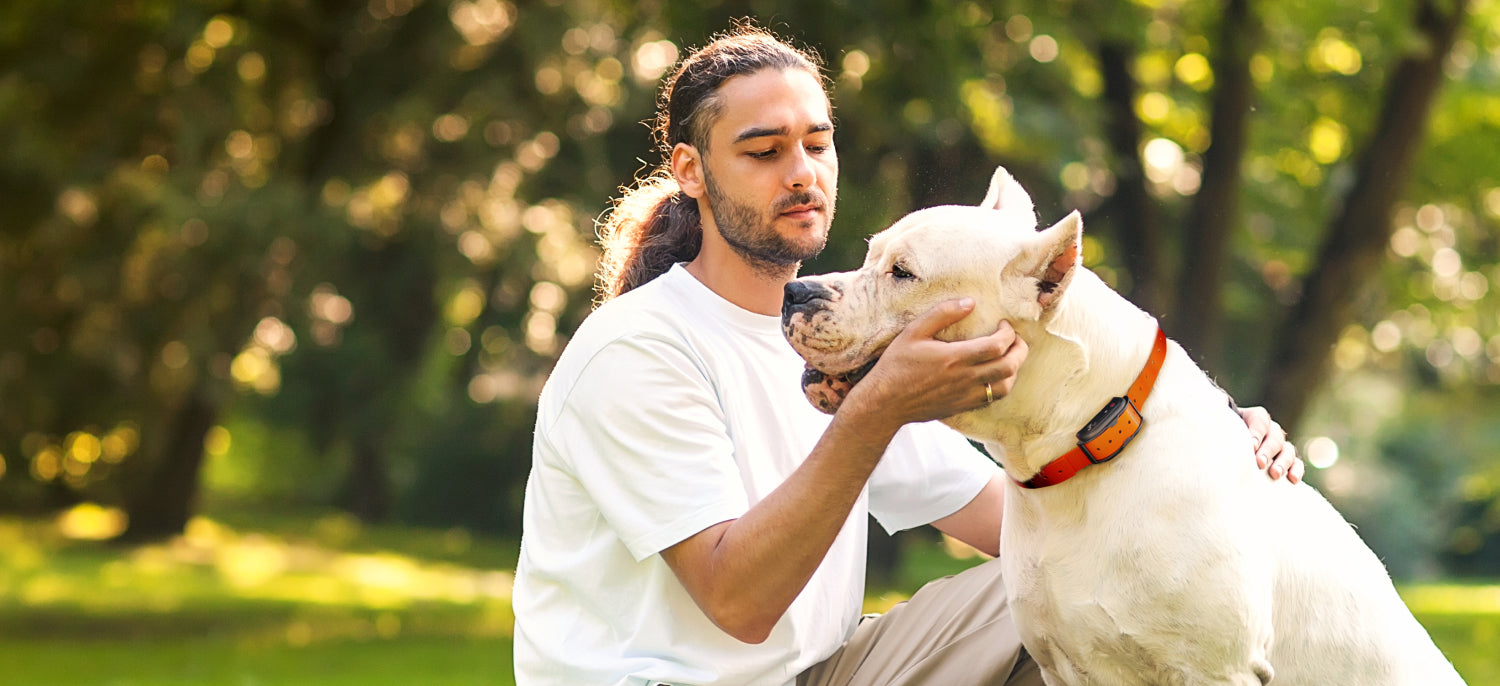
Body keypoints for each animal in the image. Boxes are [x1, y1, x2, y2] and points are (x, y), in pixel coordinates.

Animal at [780, 167, 1458, 684]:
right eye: (872, 254)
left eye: (903, 273)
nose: (797, 291)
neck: (1083, 448)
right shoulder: (1061, 663)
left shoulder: (1214, 670)